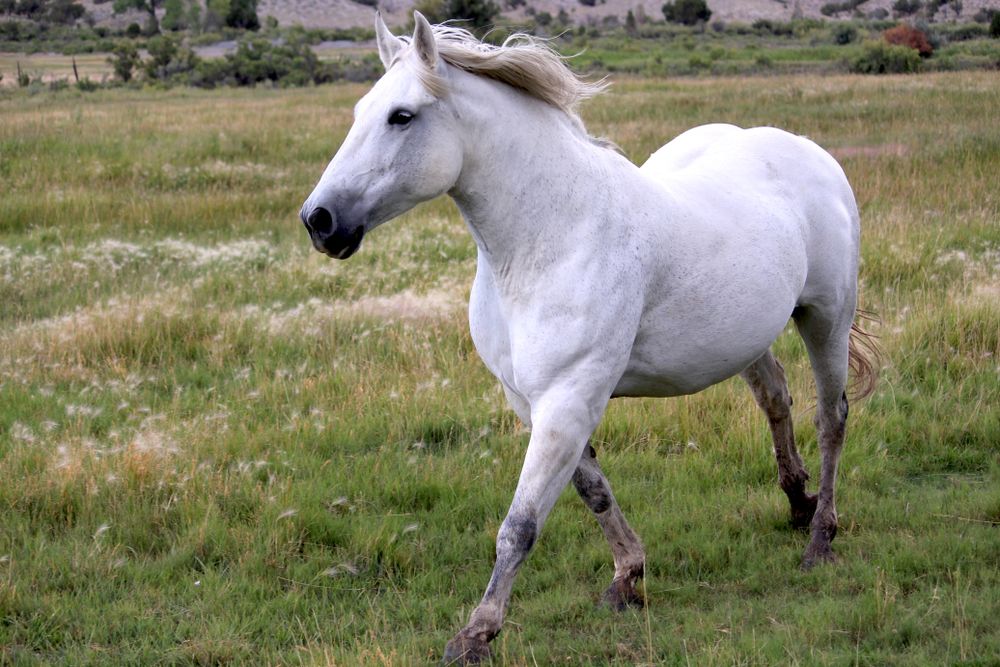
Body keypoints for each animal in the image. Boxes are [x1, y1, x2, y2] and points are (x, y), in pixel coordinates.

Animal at [300, 14, 880, 664]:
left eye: (401, 116)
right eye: (360, 111)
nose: (319, 221)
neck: (550, 237)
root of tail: (806, 150)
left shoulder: (568, 398)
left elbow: (521, 525)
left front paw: (476, 633)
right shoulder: (530, 401)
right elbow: (592, 492)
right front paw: (628, 578)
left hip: (825, 318)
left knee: (832, 419)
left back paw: (820, 538)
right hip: (747, 336)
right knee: (776, 400)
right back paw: (797, 504)